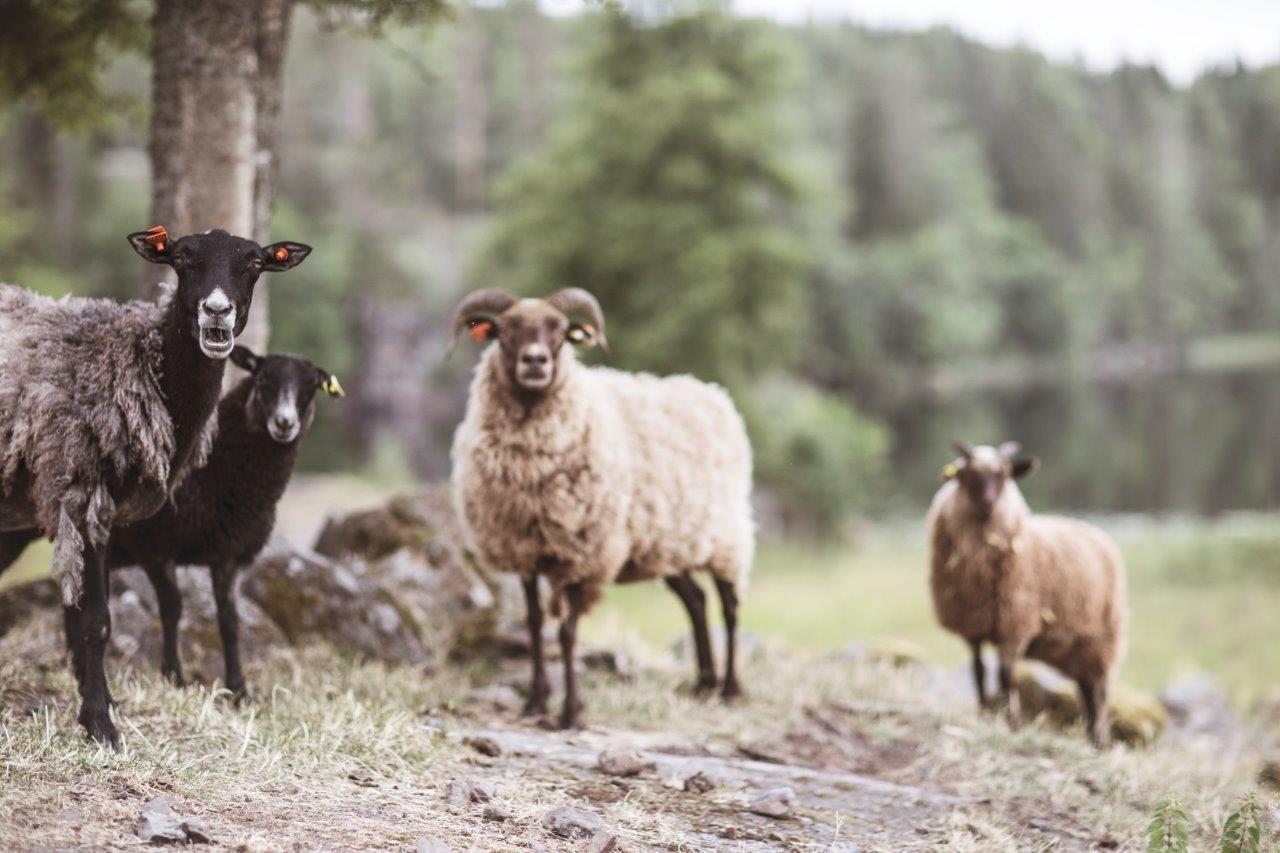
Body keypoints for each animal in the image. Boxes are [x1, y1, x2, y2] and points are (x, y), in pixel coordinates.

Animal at [0, 227, 311, 745]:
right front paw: (101, 726)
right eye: (181, 258)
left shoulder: (109, 517)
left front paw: (102, 705)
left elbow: (94, 616)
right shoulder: (87, 499)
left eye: (254, 263)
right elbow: (96, 622)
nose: (217, 310)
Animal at [449, 288, 754, 730]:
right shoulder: (524, 550)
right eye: (503, 331)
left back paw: (729, 688)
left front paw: (571, 713)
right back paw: (703, 684)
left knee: (729, 606)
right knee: (696, 601)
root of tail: (713, 393)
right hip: (668, 545)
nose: (536, 362)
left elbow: (567, 634)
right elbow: (535, 625)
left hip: (725, 535)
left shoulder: (581, 553)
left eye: (561, 332)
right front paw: (536, 703)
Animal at [926, 440, 1128, 747]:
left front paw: (1014, 725)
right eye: (967, 475)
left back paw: (1100, 740)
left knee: (1101, 692)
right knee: (1086, 690)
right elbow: (978, 673)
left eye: (1003, 476)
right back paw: (1091, 736)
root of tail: (1096, 532)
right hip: (1076, 649)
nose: (987, 502)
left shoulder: (1015, 624)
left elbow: (1006, 676)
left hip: (1102, 639)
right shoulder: (973, 628)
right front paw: (983, 715)